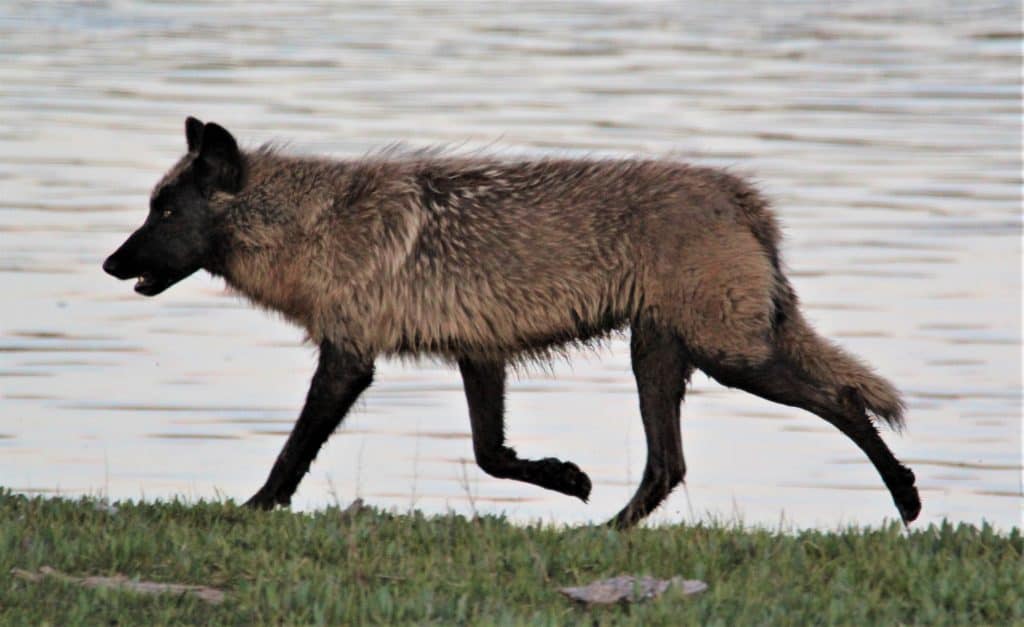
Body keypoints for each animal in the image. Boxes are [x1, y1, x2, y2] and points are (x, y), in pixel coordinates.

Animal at [103, 117, 921, 528]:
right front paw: (564, 476)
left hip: (730, 358)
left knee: (843, 401)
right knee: (669, 465)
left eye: (164, 212)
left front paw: (256, 510)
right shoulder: (479, 353)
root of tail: (739, 195)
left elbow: (292, 451)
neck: (313, 223)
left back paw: (908, 498)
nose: (110, 263)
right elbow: (492, 455)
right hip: (661, 357)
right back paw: (605, 533)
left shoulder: (349, 358)